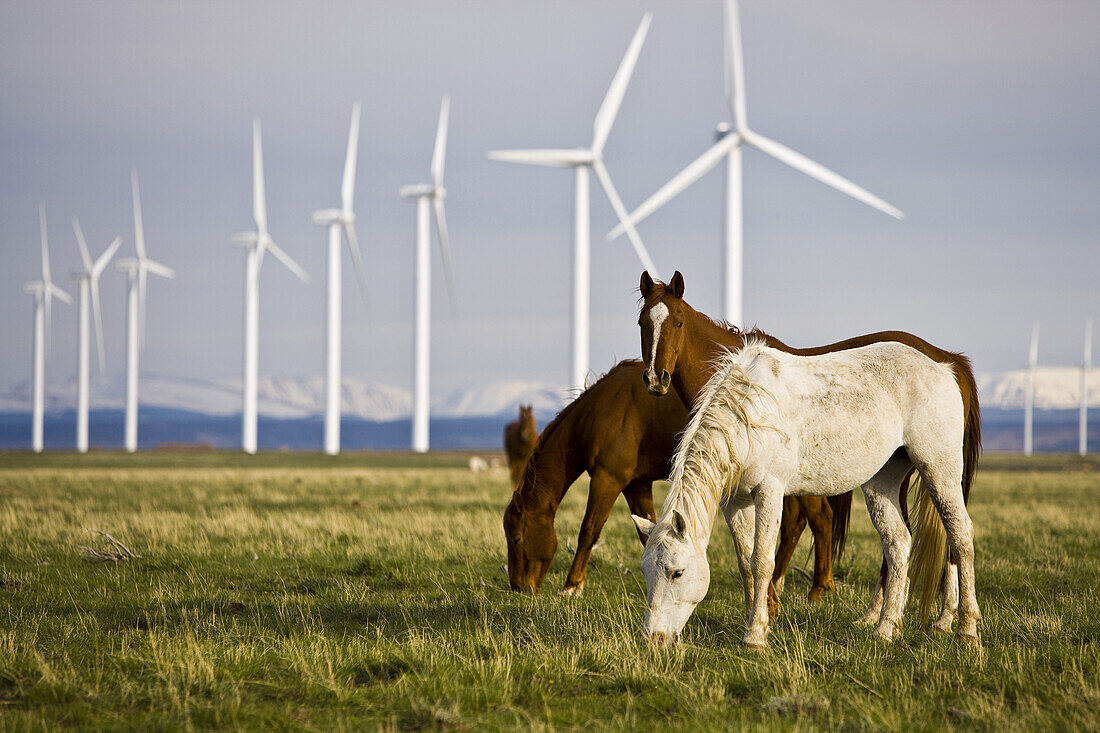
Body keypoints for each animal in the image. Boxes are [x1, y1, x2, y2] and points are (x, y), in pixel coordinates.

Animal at [638, 270, 981, 625]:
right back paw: (894, 618)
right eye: (642, 323)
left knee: (954, 535)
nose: (656, 379)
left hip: (937, 469)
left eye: (678, 322)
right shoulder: (737, 495)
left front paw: (777, 605)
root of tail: (947, 364)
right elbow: (751, 555)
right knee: (905, 540)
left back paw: (951, 621)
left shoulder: (780, 488)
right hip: (890, 475)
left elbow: (789, 536)